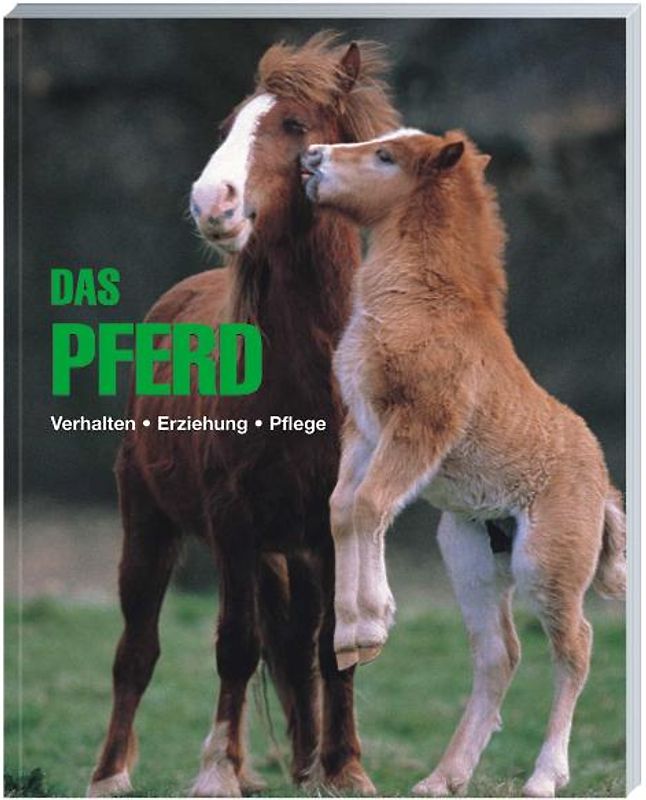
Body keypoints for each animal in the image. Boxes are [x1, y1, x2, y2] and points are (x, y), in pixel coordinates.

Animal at [88, 33, 399, 798]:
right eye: (229, 125)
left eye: (295, 125)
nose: (213, 202)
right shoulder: (233, 520)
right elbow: (235, 643)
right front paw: (216, 772)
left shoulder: (332, 528)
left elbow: (332, 650)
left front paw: (344, 770)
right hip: (149, 522)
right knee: (137, 649)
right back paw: (111, 773)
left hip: (290, 551)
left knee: (295, 646)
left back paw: (305, 761)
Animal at [301, 129, 626, 797]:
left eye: (385, 157)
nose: (311, 158)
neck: (426, 303)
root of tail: (604, 484)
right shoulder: (363, 431)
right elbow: (342, 509)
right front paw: (350, 637)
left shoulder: (422, 425)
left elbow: (370, 505)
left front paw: (371, 627)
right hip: (470, 555)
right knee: (500, 653)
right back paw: (443, 776)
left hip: (546, 562)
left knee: (575, 645)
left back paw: (544, 775)